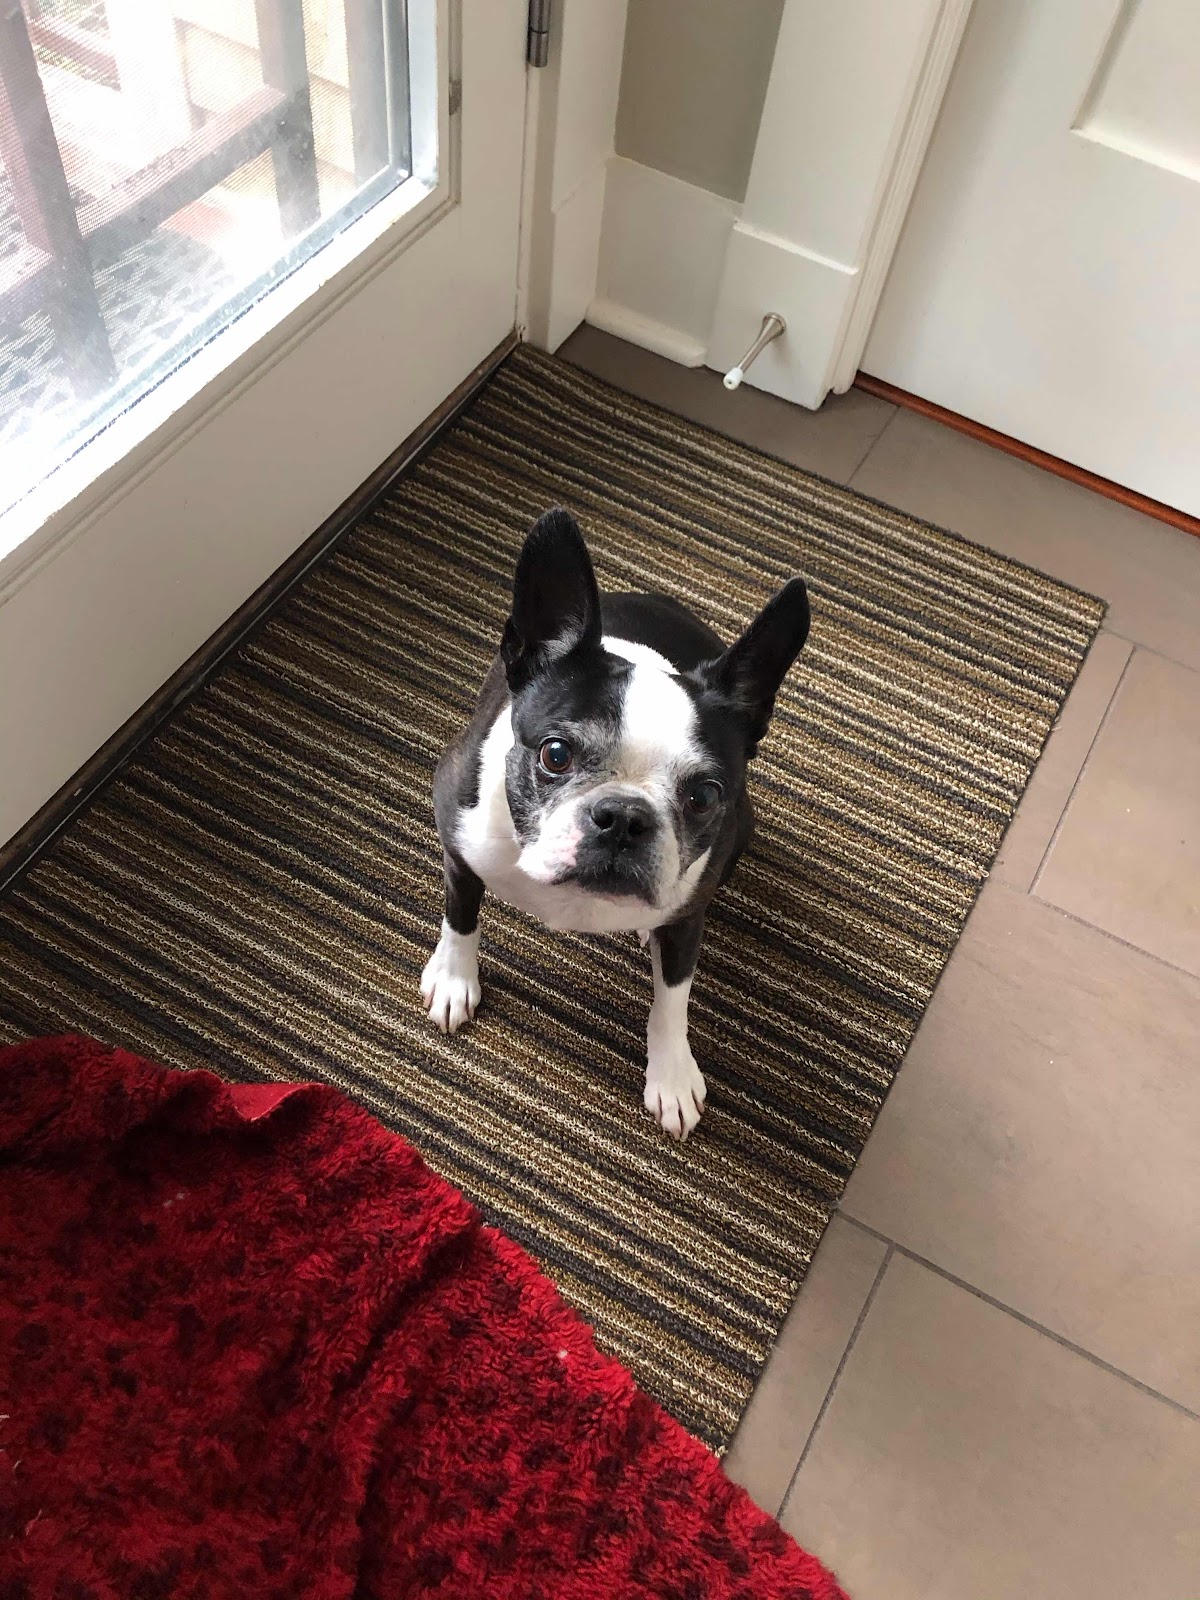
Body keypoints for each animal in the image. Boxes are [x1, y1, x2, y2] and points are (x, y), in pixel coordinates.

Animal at [421, 507, 809, 1139]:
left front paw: (671, 1074)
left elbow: (673, 997)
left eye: (704, 796)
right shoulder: (458, 840)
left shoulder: (688, 914)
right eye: (555, 754)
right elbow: (461, 915)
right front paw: (454, 979)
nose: (625, 818)